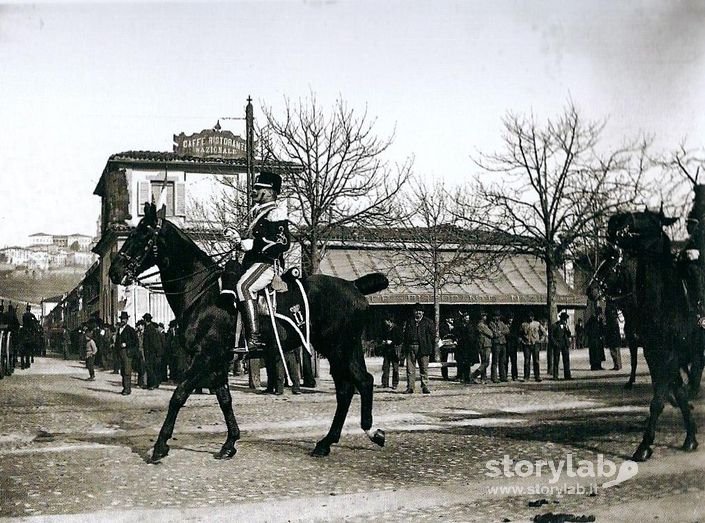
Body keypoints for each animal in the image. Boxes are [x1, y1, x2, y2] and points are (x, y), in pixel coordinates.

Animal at [108, 205, 390, 462]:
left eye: (143, 235)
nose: (114, 272)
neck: (202, 293)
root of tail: (354, 285)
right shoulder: (218, 360)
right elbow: (224, 399)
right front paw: (230, 443)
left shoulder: (204, 357)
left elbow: (179, 396)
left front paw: (160, 446)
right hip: (342, 349)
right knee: (351, 386)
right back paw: (332, 441)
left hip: (339, 348)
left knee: (357, 384)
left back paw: (365, 433)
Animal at [604, 210, 700, 462]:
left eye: (612, 256)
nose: (591, 289)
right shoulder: (655, 354)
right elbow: (677, 393)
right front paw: (690, 437)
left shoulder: (668, 357)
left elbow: (658, 400)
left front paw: (644, 445)